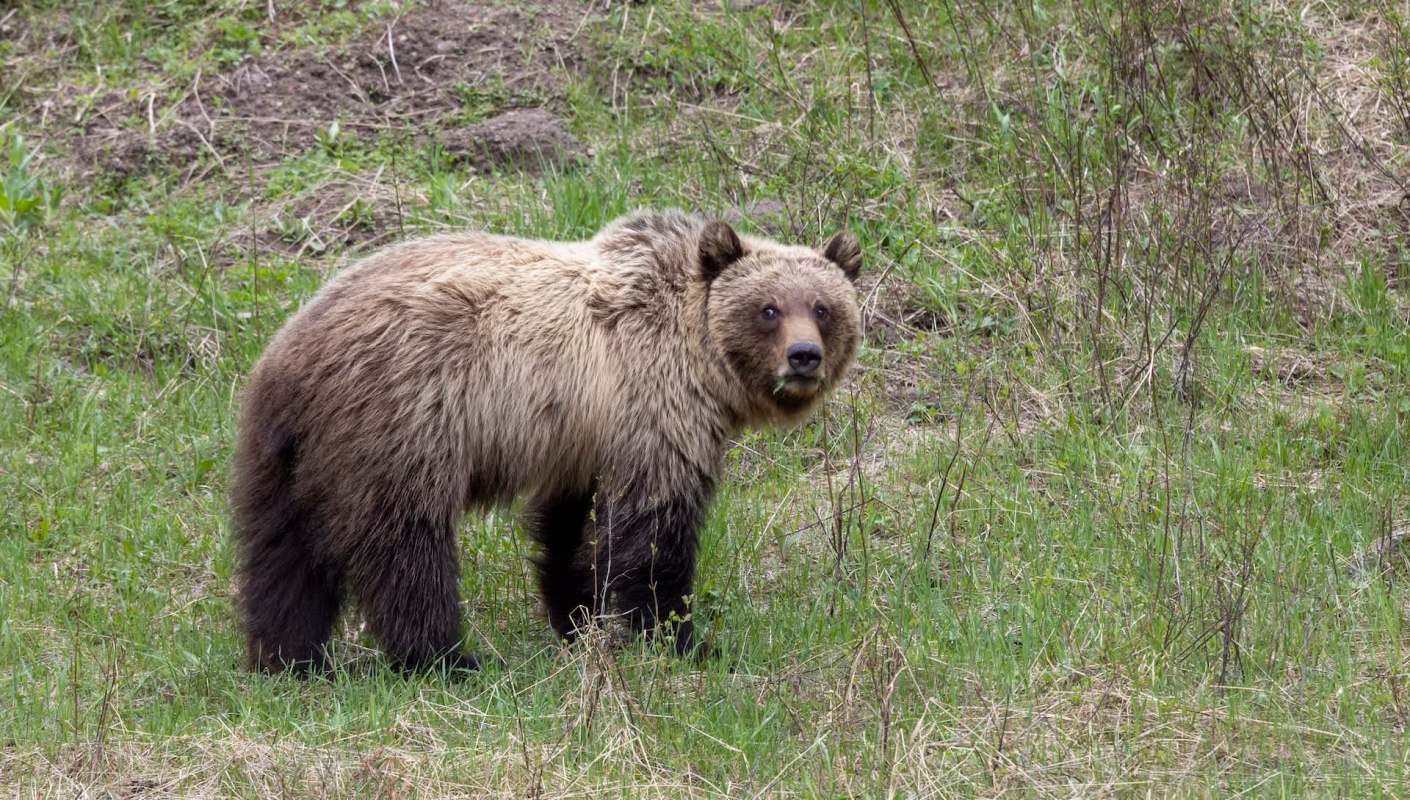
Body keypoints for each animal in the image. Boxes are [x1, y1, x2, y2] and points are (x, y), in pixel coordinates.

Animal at [230, 209, 863, 673]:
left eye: (823, 307)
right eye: (768, 308)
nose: (804, 356)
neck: (698, 354)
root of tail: (289, 358)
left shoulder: (581, 436)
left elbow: (567, 528)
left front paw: (576, 618)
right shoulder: (653, 408)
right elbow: (654, 530)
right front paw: (681, 638)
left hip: (283, 454)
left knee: (281, 553)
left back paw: (290, 657)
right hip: (402, 421)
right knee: (405, 547)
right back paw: (447, 658)